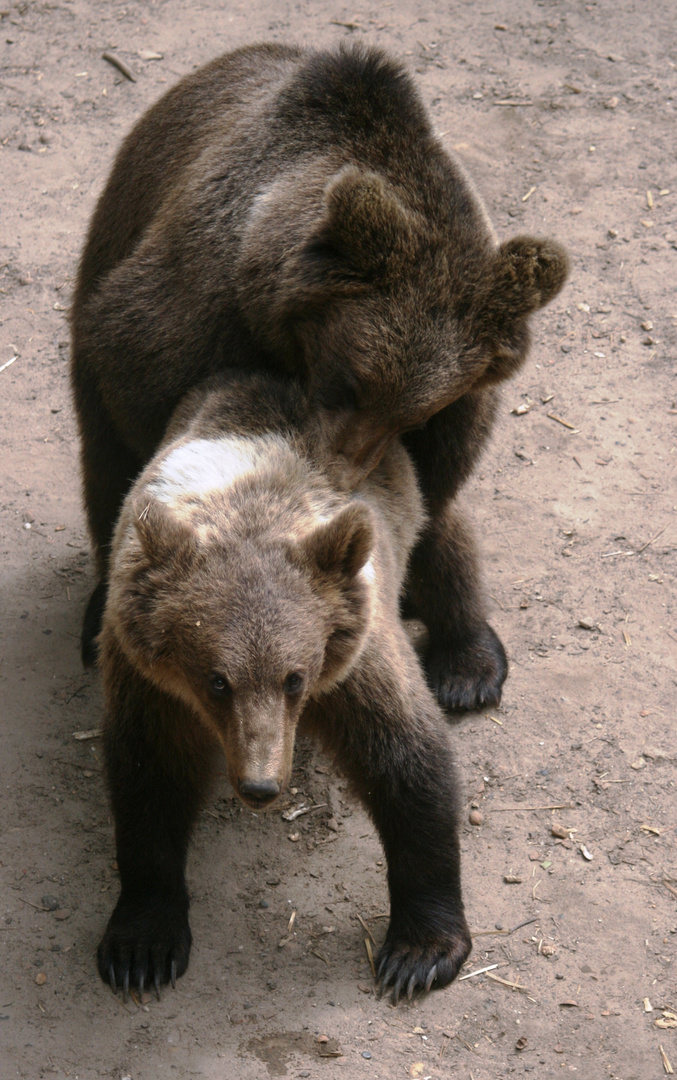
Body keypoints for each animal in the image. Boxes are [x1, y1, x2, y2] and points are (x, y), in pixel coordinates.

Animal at [71, 42, 570, 712]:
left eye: (414, 414)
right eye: (348, 382)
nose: (342, 469)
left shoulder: (459, 403)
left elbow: (435, 490)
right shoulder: (192, 314)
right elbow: (153, 414)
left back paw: (468, 663)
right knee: (105, 470)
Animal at [98, 371, 470, 1002]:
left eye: (294, 677)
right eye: (216, 681)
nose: (260, 786)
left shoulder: (351, 660)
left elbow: (407, 761)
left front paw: (418, 953)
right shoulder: (150, 681)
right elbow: (149, 779)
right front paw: (141, 947)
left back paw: (472, 666)